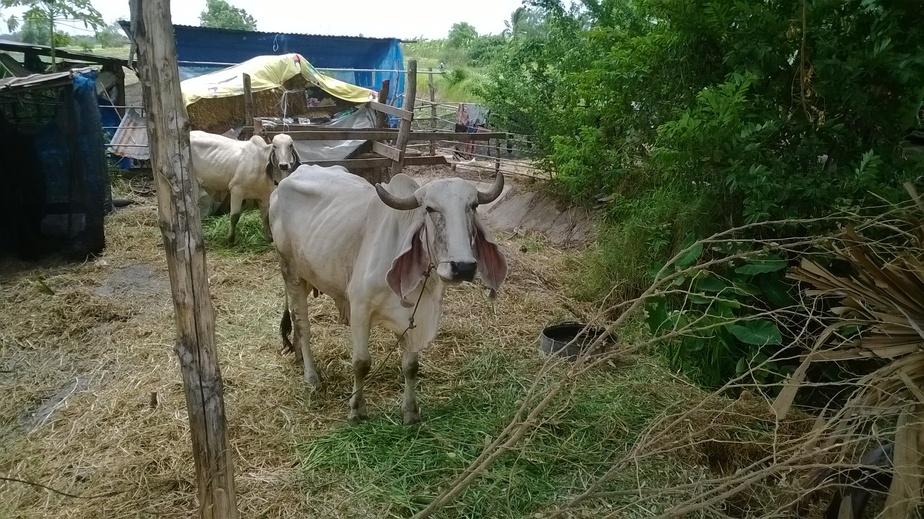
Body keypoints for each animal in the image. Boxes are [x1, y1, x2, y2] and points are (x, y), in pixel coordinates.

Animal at [270, 165, 508, 424]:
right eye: (430, 208)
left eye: (473, 206)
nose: (463, 267)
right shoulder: (360, 308)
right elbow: (361, 363)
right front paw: (357, 409)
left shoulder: (415, 316)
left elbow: (411, 366)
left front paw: (410, 412)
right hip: (291, 273)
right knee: (303, 325)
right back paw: (311, 376)